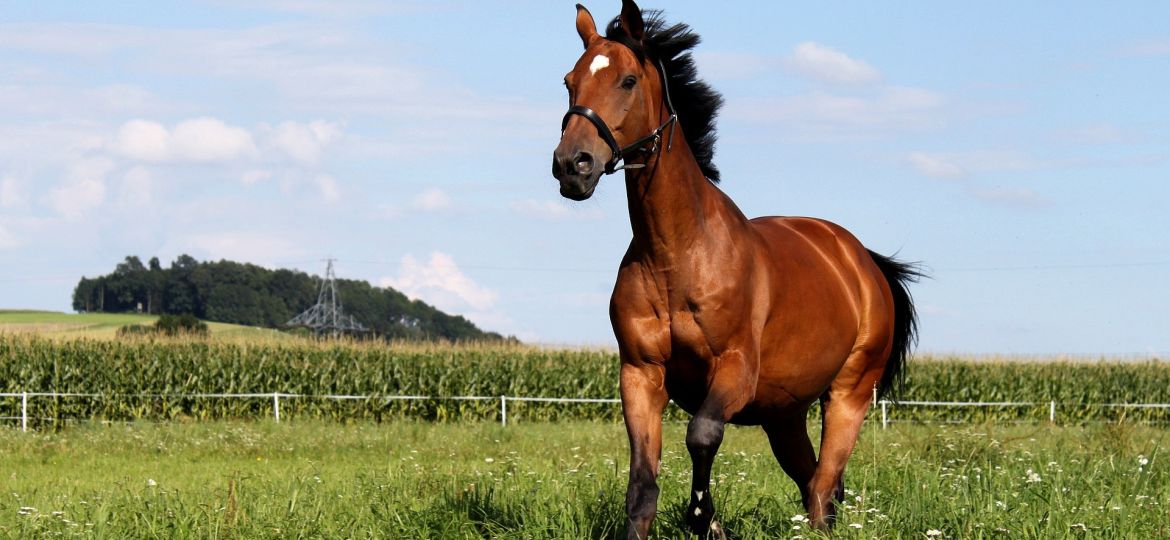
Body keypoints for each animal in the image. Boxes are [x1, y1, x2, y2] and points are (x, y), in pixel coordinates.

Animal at [552, 2, 917, 537]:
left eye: (627, 80)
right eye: (569, 82)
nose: (572, 165)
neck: (676, 257)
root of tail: (863, 261)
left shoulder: (734, 370)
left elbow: (702, 434)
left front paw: (703, 518)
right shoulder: (640, 374)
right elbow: (642, 484)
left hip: (849, 394)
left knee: (824, 486)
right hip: (784, 415)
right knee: (815, 484)